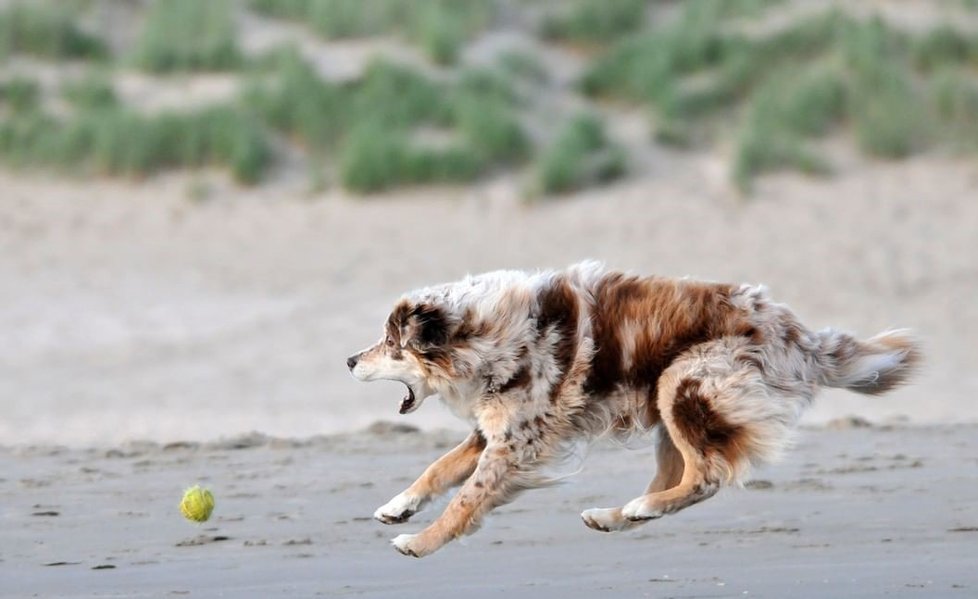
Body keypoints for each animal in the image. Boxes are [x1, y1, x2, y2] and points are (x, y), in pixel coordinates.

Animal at [346, 262, 920, 556]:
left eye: (391, 345)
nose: (350, 360)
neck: (483, 336)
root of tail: (800, 335)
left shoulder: (515, 441)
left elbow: (465, 499)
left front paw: (421, 541)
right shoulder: (495, 429)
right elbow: (437, 468)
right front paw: (398, 506)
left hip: (683, 385)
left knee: (707, 477)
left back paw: (637, 509)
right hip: (670, 405)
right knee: (680, 475)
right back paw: (617, 515)